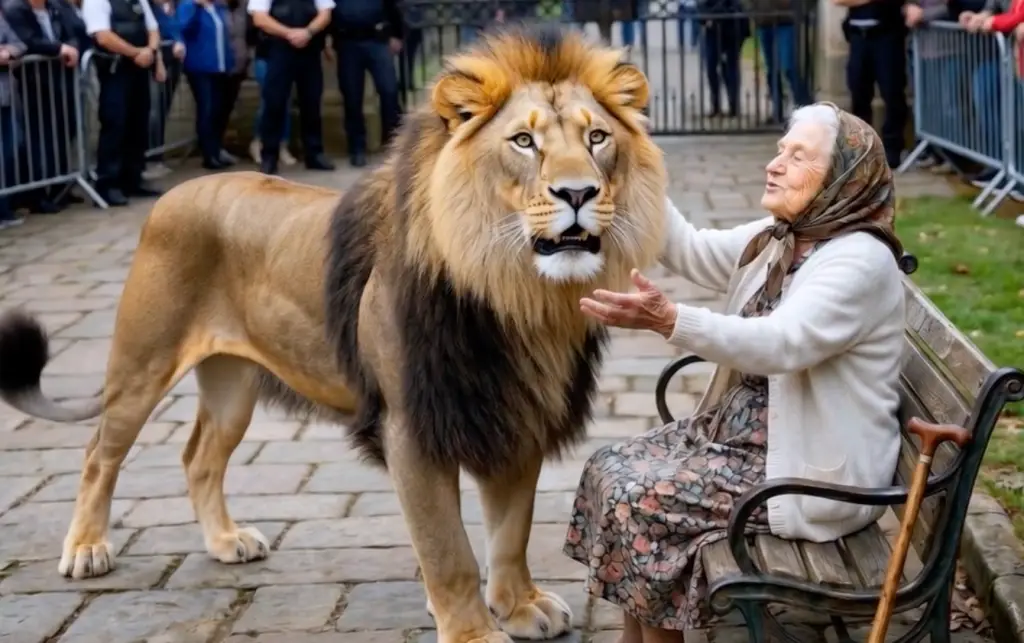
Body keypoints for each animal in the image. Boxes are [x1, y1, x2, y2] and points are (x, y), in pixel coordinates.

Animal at [0, 25, 667, 643]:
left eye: (597, 138)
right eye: (524, 142)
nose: (578, 192)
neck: (514, 293)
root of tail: (174, 194)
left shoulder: (514, 409)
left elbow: (511, 530)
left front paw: (520, 606)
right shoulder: (412, 426)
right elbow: (447, 550)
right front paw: (473, 631)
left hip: (233, 386)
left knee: (199, 457)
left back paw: (226, 541)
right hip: (142, 364)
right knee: (99, 454)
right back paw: (87, 549)